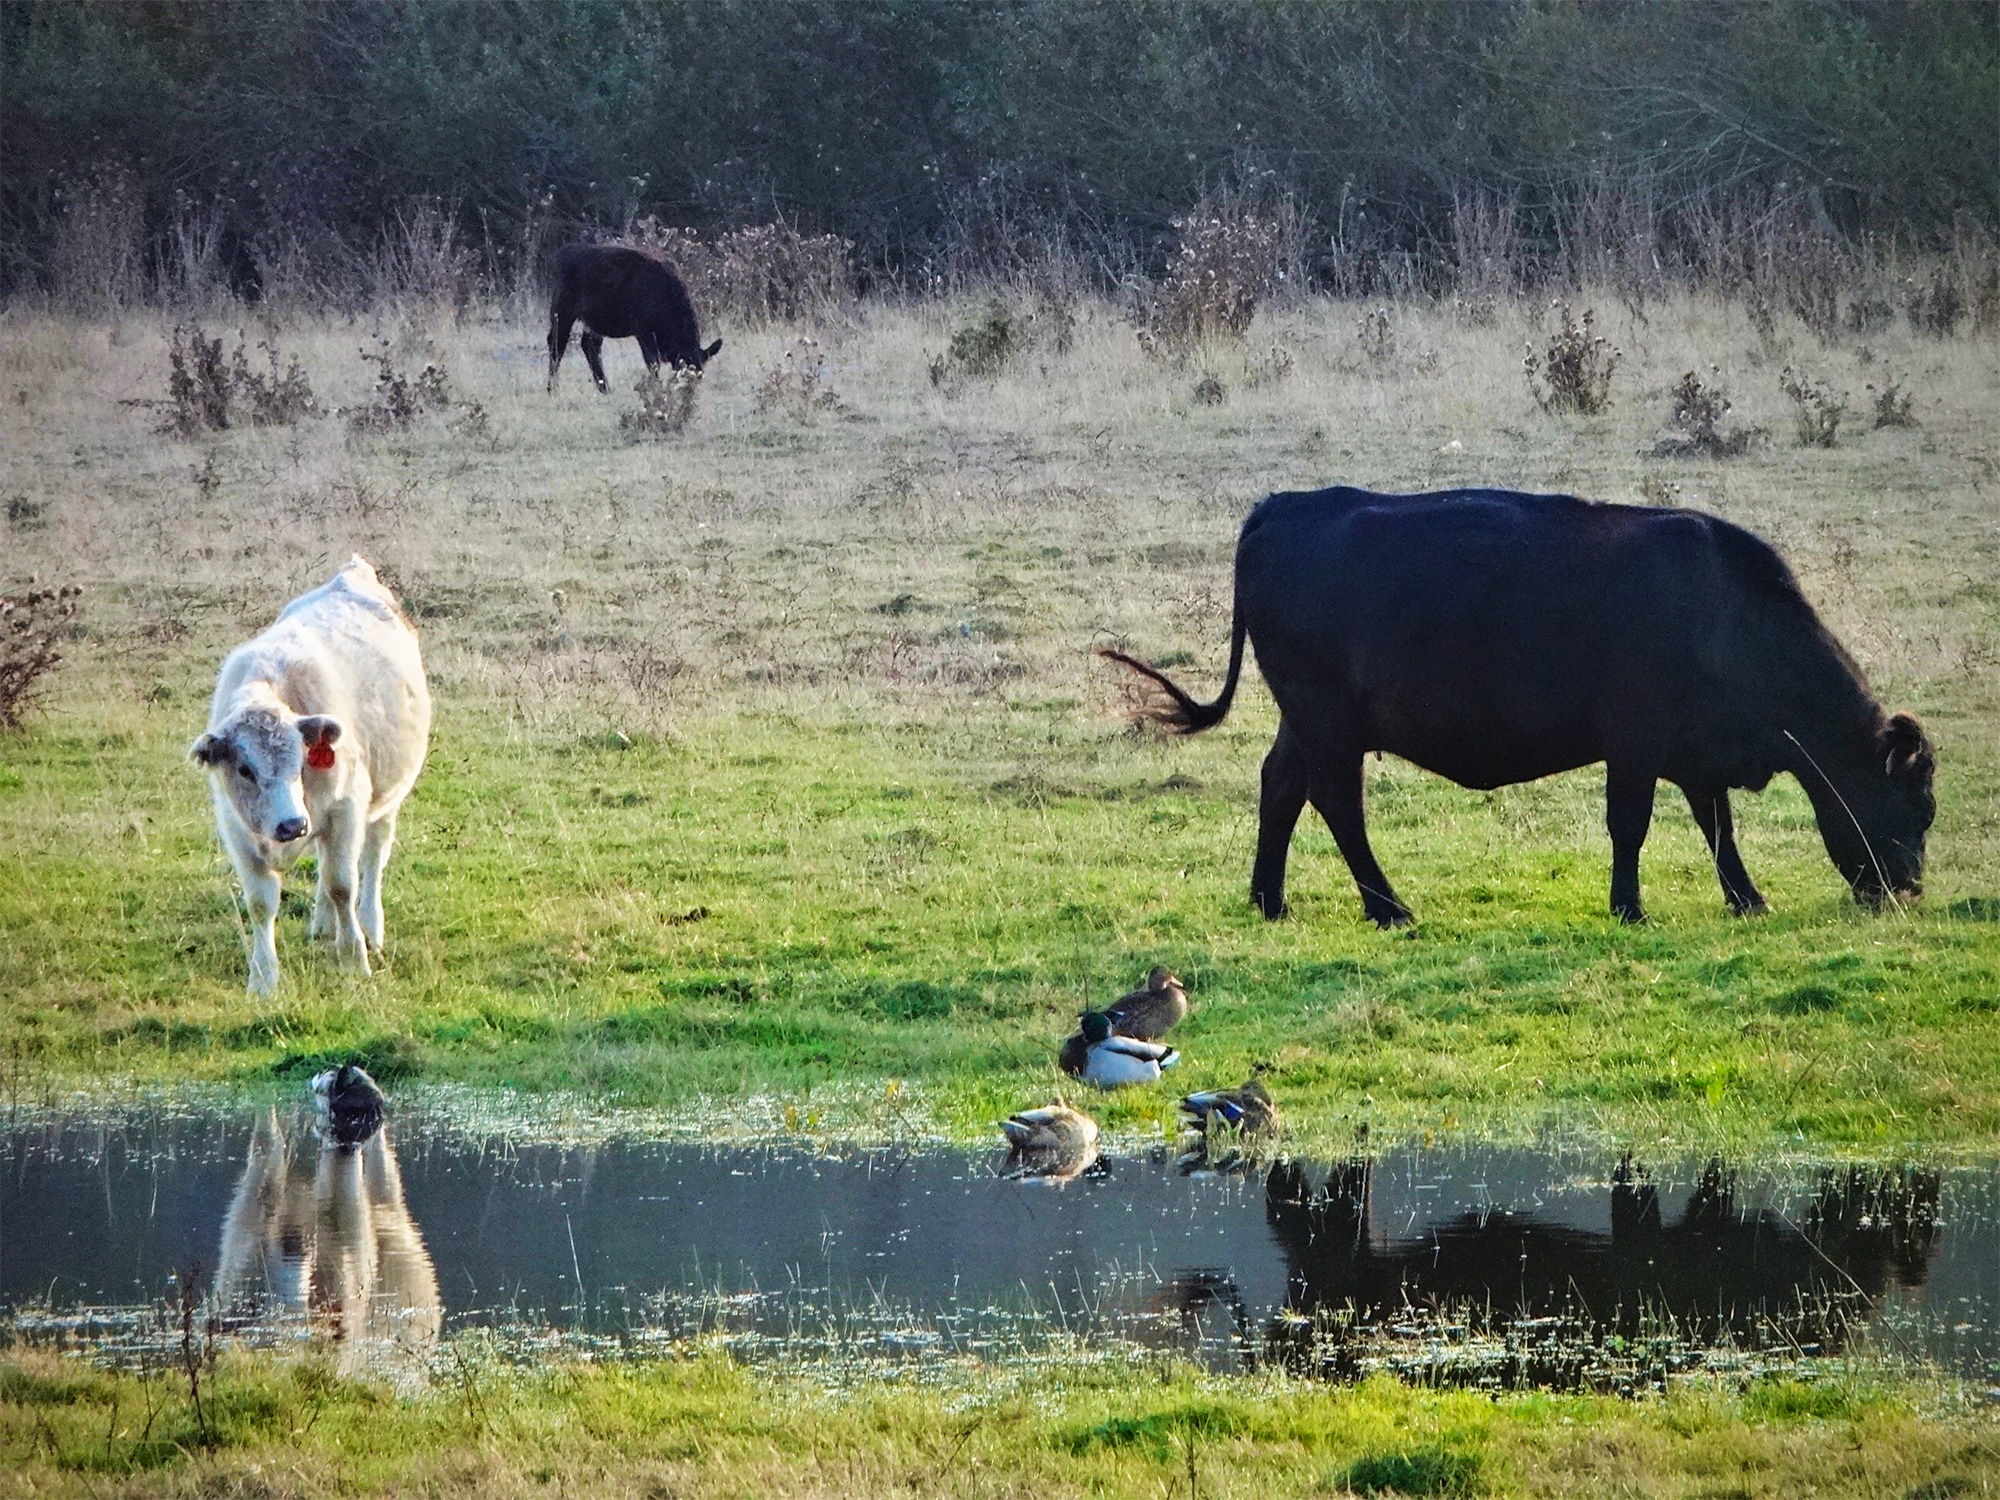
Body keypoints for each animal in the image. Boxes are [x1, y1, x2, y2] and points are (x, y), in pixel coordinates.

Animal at [193, 560, 432, 992]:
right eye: (244, 769)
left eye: (301, 759)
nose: (291, 825)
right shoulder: (237, 830)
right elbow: (261, 903)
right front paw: (263, 978)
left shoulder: (347, 808)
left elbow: (342, 885)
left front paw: (354, 957)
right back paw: (322, 926)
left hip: (384, 802)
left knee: (372, 859)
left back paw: (370, 927)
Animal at [548, 244, 728, 394]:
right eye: (681, 373)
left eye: (700, 376)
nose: (687, 394)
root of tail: (559, 255)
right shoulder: (643, 330)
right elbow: (652, 363)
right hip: (562, 311)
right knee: (556, 343)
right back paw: (553, 389)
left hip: (594, 320)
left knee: (589, 344)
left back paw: (604, 388)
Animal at [1112, 488, 1936, 928]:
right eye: (1918, 809)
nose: (1906, 891)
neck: (1726, 609)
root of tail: (1284, 506)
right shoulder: (1636, 739)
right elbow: (1631, 823)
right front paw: (1629, 907)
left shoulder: (1695, 750)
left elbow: (1716, 825)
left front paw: (1746, 897)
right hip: (1328, 719)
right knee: (1335, 800)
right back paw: (1389, 907)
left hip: (1306, 720)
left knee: (1281, 785)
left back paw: (1270, 901)